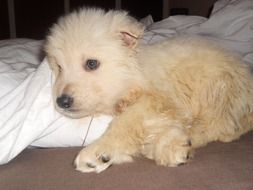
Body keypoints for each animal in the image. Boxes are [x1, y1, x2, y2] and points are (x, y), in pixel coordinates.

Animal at [44, 8, 253, 173]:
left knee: (221, 127)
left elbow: (126, 122)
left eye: (91, 63)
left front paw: (98, 151)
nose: (62, 101)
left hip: (220, 89)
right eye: (59, 67)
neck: (135, 74)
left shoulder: (156, 100)